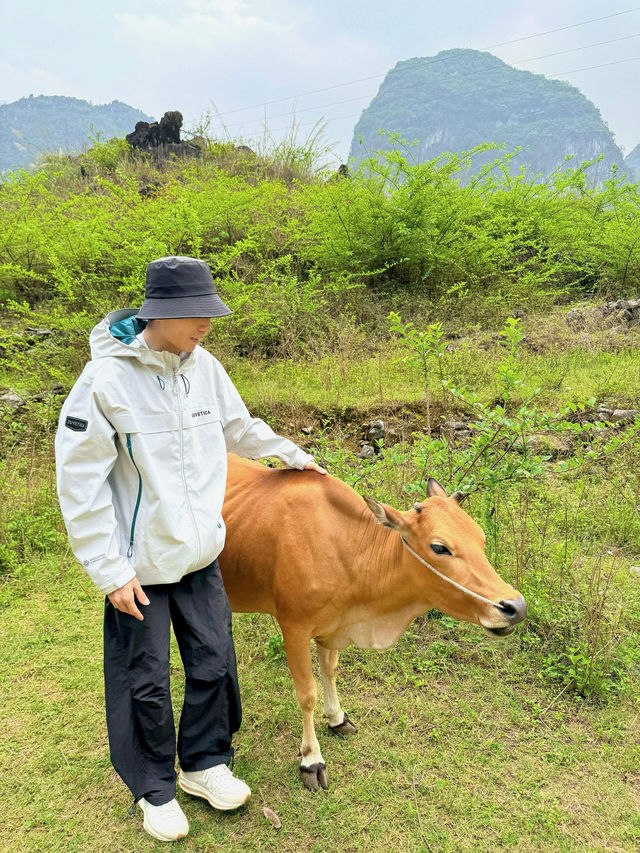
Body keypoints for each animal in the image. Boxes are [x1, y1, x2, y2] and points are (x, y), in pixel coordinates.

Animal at [220, 452, 524, 792]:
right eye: (439, 547)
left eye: (481, 538)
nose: (514, 606)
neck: (349, 550)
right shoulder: (294, 628)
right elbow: (307, 694)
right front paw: (311, 758)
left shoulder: (332, 625)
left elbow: (330, 671)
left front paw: (336, 717)